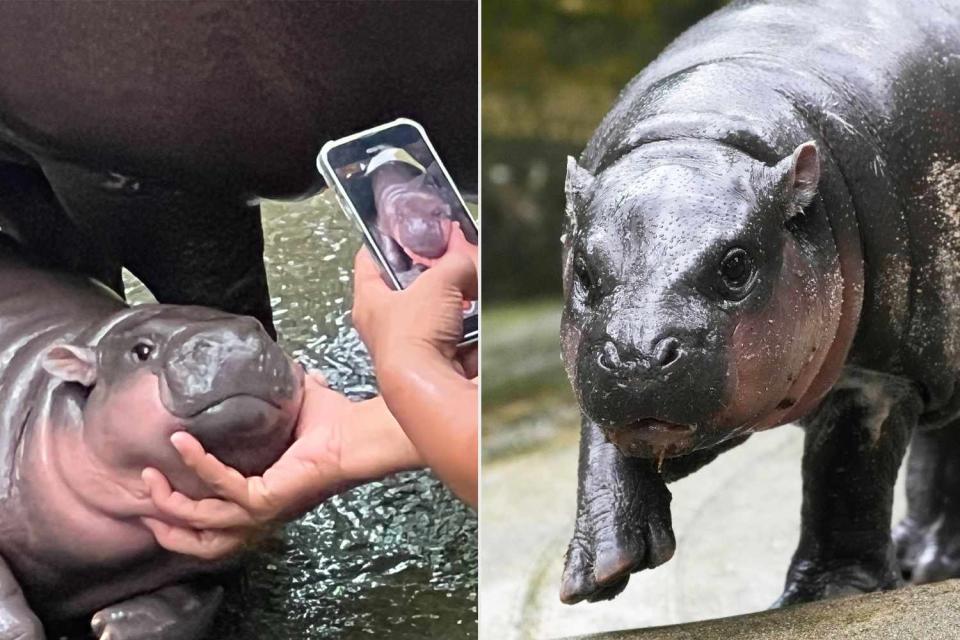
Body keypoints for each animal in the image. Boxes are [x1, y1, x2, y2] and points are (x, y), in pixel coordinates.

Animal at [0, 236, 304, 640]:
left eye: (256, 326)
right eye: (141, 350)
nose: (232, 342)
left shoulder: (214, 557)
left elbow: (194, 601)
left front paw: (117, 625)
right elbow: (11, 608)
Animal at [560, 0, 960, 608]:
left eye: (736, 264)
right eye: (582, 269)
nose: (637, 358)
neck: (703, 130)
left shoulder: (883, 372)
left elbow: (846, 474)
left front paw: (825, 596)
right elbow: (601, 437)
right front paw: (600, 570)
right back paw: (919, 557)